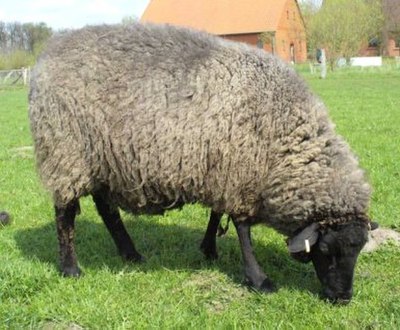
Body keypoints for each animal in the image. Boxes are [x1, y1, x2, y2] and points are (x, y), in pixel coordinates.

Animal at [29, 21, 374, 302]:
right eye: (326, 250)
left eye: (359, 250)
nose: (343, 298)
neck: (283, 135)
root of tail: (47, 55)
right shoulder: (238, 175)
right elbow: (243, 229)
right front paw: (258, 279)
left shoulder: (221, 170)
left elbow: (216, 213)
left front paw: (209, 249)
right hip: (66, 153)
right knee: (65, 214)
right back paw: (70, 268)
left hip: (102, 160)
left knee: (107, 209)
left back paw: (130, 253)